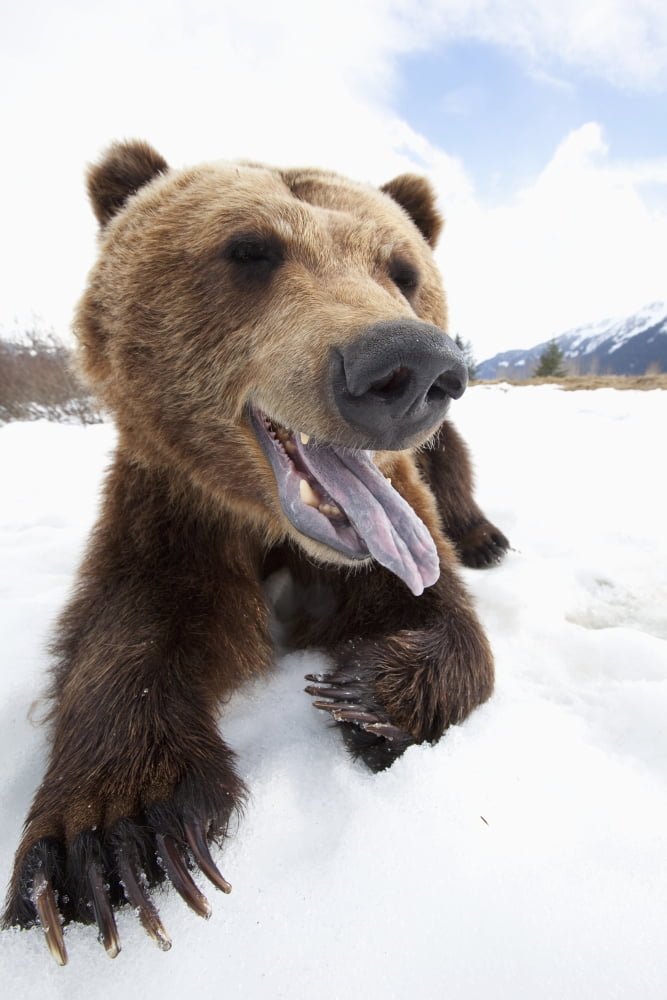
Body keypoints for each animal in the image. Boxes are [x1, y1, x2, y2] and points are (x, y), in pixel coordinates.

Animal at [3, 140, 509, 965]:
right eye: (249, 249)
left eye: (402, 270)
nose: (408, 363)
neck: (271, 527)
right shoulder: (171, 507)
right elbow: (129, 625)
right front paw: (113, 837)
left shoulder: (393, 526)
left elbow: (447, 618)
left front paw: (363, 691)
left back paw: (487, 537)